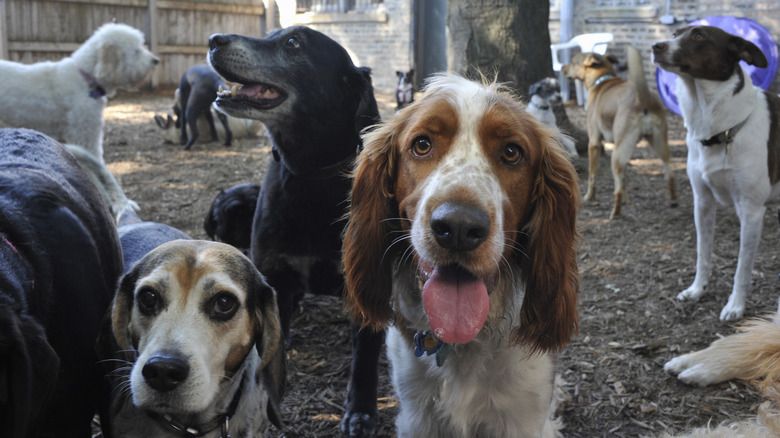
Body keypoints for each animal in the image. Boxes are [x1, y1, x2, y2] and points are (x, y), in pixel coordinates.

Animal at [560, 46, 676, 217]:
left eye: (574, 61)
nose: (562, 68)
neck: (602, 80)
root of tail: (642, 97)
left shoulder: (594, 143)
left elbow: (593, 175)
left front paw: (589, 196)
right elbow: (625, 179)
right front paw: (628, 200)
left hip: (616, 154)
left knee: (617, 190)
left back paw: (615, 212)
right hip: (658, 144)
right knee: (669, 172)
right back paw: (673, 200)